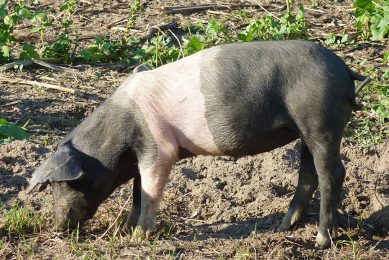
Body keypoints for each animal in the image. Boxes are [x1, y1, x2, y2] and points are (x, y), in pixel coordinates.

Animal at [26, 40, 370, 248]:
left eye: (63, 184)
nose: (57, 226)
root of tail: (343, 69)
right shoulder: (140, 157)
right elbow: (138, 192)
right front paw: (125, 230)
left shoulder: (160, 150)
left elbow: (149, 193)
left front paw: (138, 238)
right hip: (305, 129)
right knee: (309, 174)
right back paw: (283, 228)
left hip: (320, 121)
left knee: (332, 174)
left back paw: (321, 240)